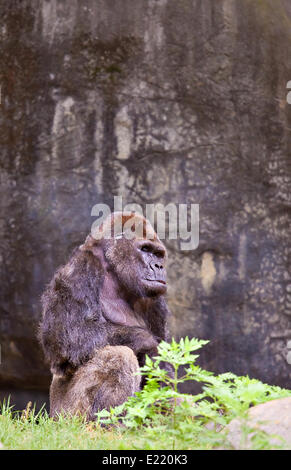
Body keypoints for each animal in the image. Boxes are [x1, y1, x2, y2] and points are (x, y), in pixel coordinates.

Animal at [38, 211, 171, 420]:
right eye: (145, 249)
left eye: (158, 254)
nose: (158, 266)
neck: (113, 270)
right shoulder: (79, 268)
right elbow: (70, 336)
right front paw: (149, 343)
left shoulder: (155, 298)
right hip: (65, 416)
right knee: (119, 354)